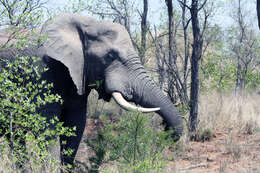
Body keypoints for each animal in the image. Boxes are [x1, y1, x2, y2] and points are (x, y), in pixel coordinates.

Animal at [0, 13, 184, 168]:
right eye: (110, 56)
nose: (165, 129)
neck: (85, 26)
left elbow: (76, 124)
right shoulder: (42, 70)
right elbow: (48, 125)